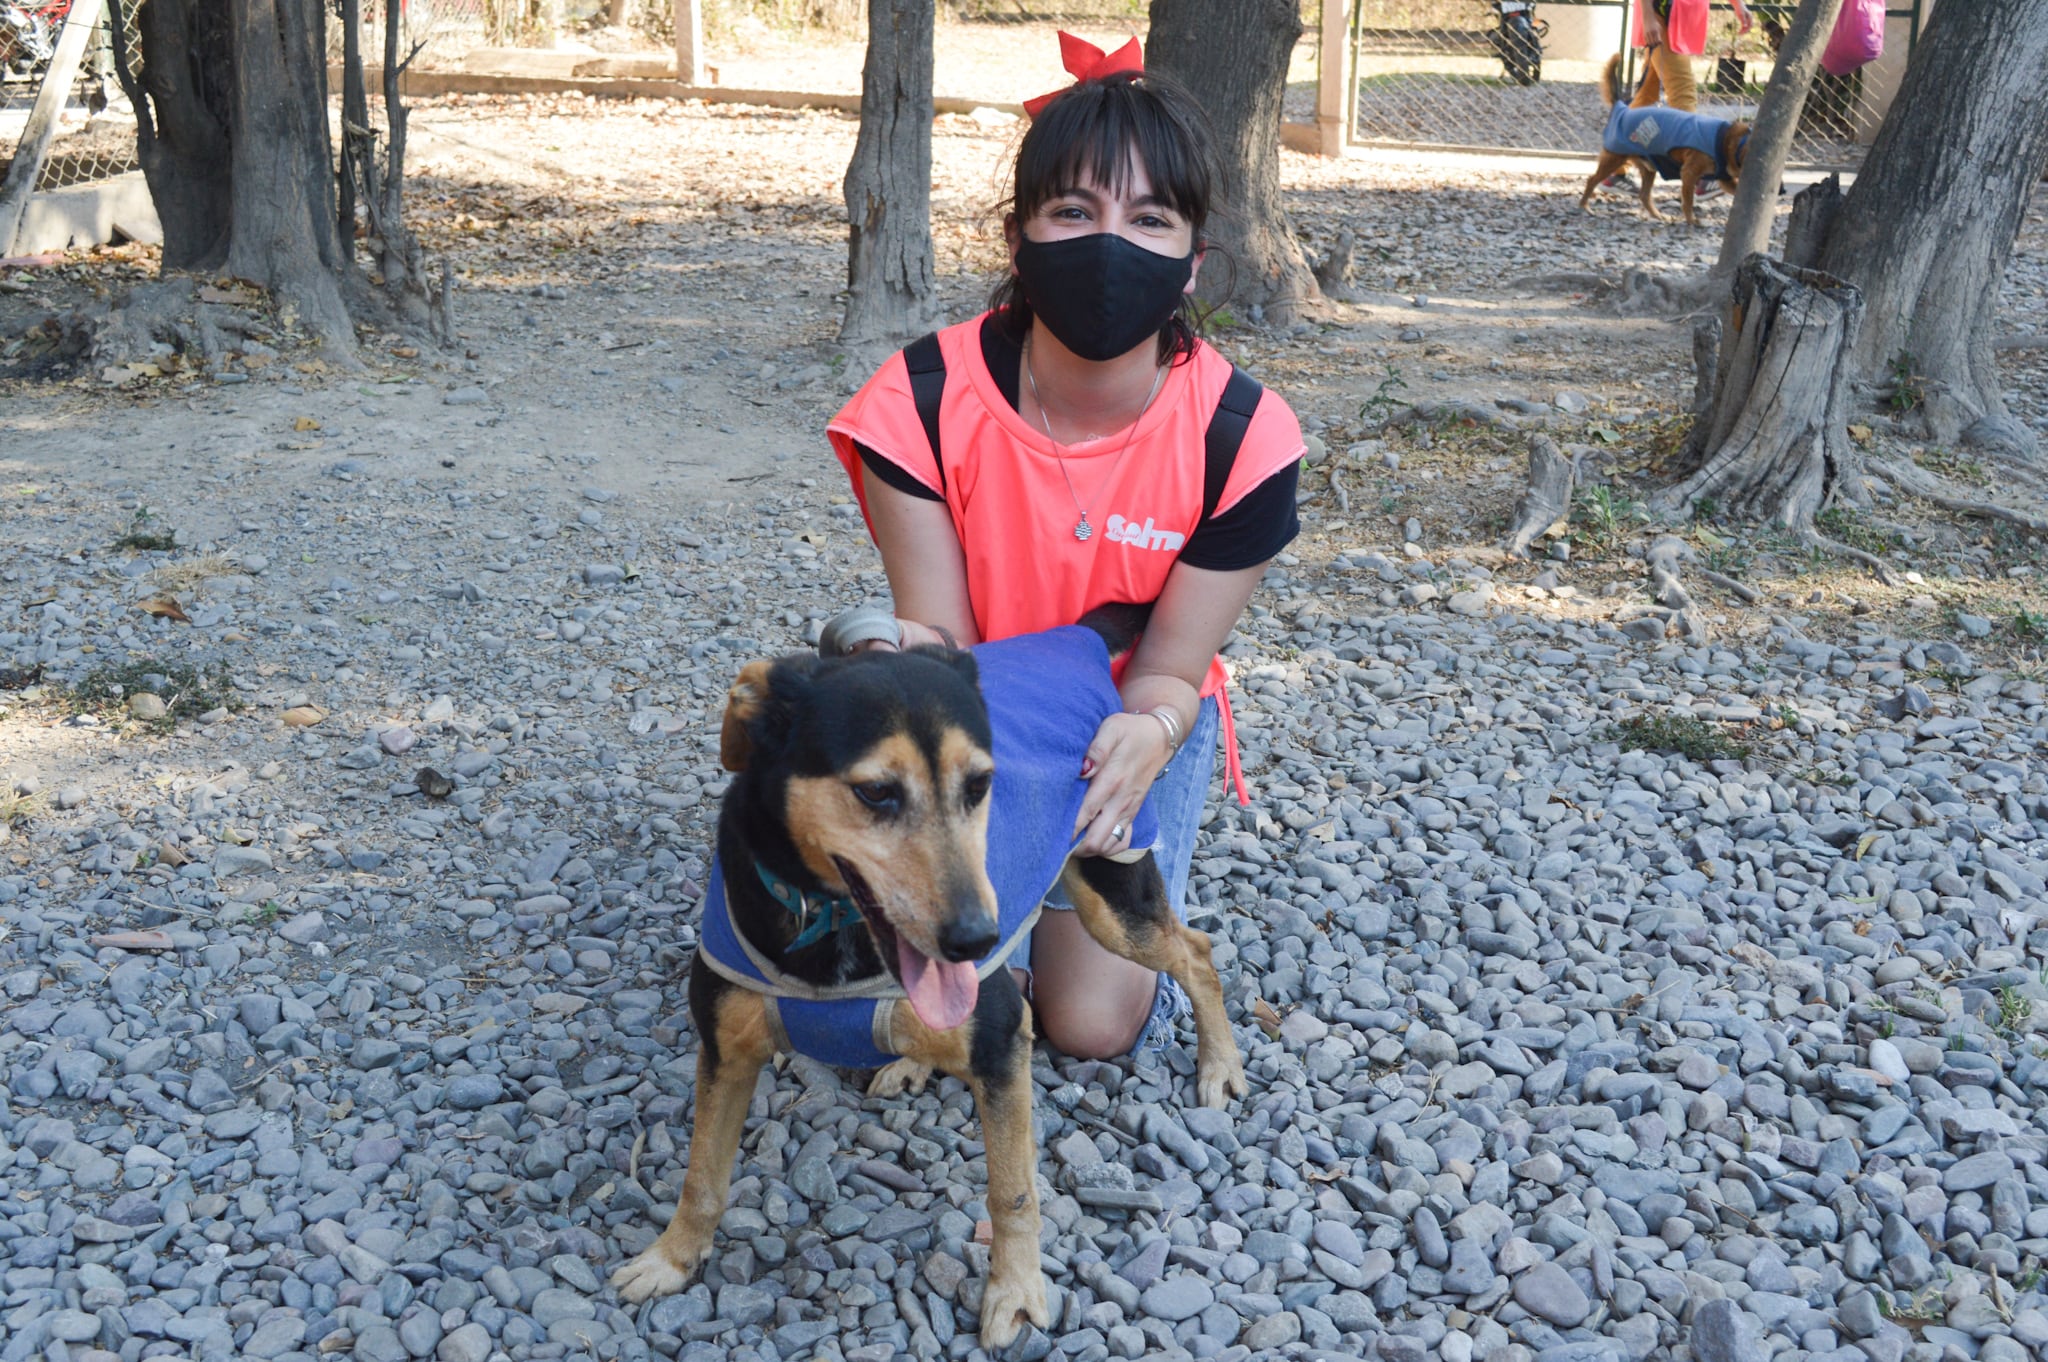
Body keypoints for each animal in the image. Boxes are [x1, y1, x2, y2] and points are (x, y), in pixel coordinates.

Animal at [606, 614, 1245, 1351]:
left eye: (980, 785)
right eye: (876, 791)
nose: (977, 940)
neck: (830, 924)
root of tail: (1075, 636)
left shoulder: (999, 1042)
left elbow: (1013, 1191)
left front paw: (1016, 1292)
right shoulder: (725, 1049)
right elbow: (702, 1176)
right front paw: (672, 1259)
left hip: (1112, 887)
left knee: (1195, 951)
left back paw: (1220, 1065)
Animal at [1581, 53, 1744, 225]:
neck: (1729, 140)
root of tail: (1622, 109)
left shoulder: (1725, 181)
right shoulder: (1689, 173)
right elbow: (1688, 202)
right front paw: (1691, 220)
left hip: (1648, 168)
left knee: (1644, 195)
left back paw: (1657, 215)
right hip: (1615, 158)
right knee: (1591, 180)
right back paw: (1585, 206)